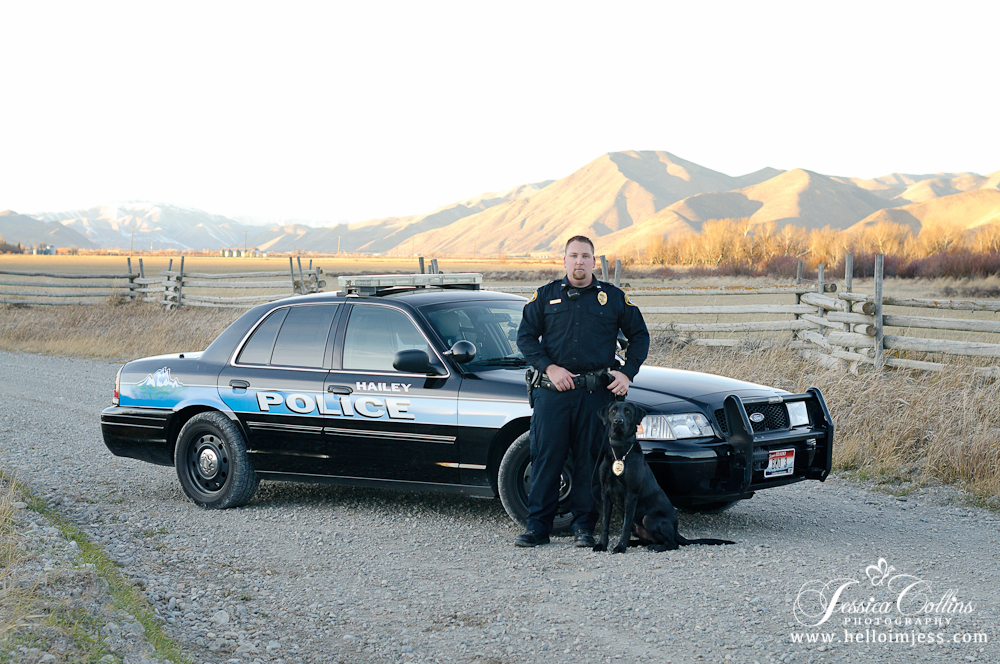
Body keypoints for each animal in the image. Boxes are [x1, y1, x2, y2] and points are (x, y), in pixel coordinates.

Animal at [592, 402, 736, 552]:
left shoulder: (631, 494)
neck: (620, 449)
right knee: (646, 539)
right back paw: (635, 543)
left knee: (672, 543)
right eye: (613, 411)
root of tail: (676, 530)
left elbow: (625, 527)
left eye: (628, 412)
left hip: (649, 518)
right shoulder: (606, 493)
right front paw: (602, 544)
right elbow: (605, 522)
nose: (618, 421)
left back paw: (655, 546)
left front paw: (620, 547)